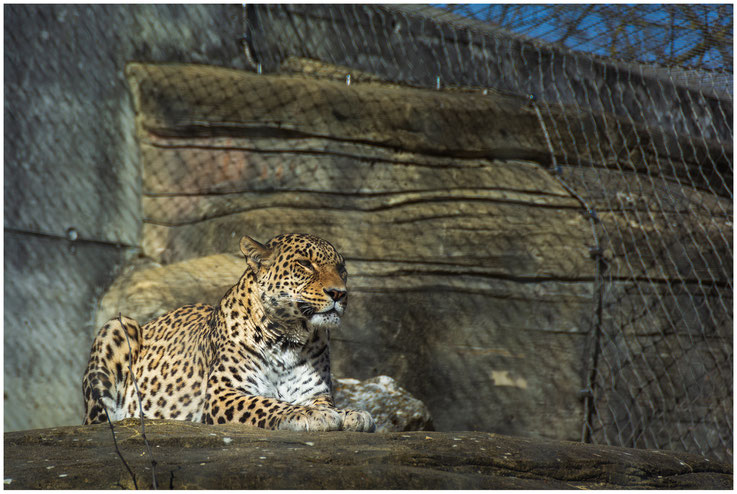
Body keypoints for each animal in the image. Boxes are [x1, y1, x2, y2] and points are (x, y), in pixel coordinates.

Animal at [82, 233, 374, 430]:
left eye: (342, 269)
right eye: (305, 264)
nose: (339, 293)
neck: (289, 337)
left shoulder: (315, 394)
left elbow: (326, 405)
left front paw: (352, 414)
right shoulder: (224, 393)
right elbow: (268, 403)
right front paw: (308, 414)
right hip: (116, 327)